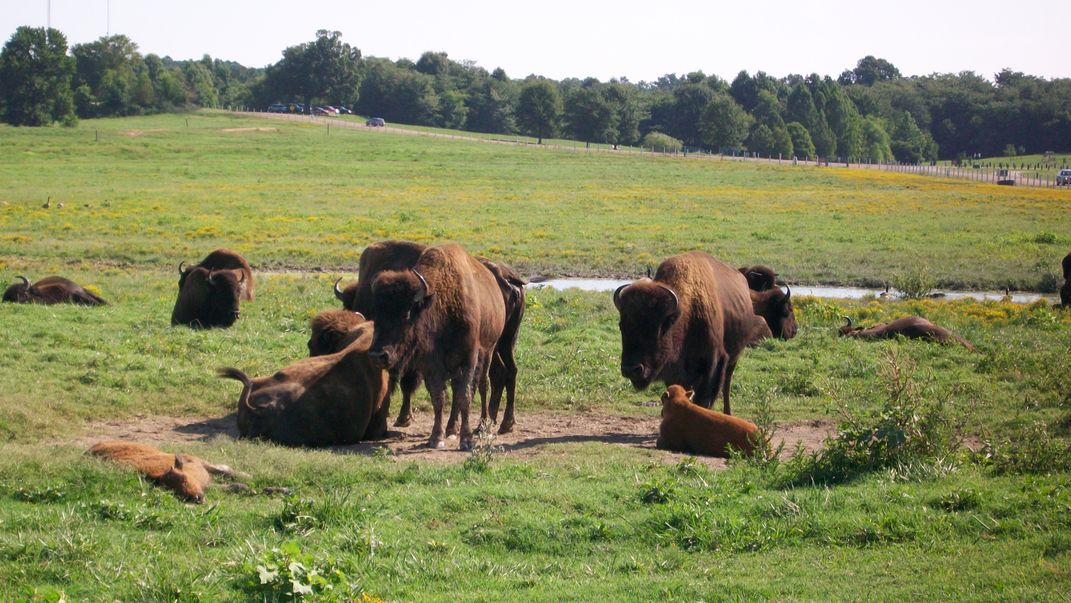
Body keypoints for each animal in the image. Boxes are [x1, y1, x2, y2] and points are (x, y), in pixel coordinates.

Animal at [366, 244, 503, 447]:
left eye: (406, 313)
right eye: (377, 314)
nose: (378, 356)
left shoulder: (469, 358)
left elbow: (465, 396)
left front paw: (466, 439)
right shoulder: (431, 365)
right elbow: (439, 398)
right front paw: (436, 438)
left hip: (489, 351)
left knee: (483, 385)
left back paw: (482, 426)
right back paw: (451, 428)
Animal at [616, 251, 766, 415]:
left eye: (659, 327)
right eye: (621, 326)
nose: (631, 370)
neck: (685, 315)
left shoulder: (714, 365)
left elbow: (704, 400)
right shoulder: (676, 373)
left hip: (734, 357)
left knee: (726, 384)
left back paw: (728, 412)